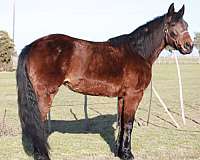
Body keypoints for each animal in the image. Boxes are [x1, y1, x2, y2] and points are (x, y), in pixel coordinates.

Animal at [16, 3, 193, 160]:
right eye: (172, 24)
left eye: (186, 24)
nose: (189, 46)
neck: (137, 52)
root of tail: (32, 45)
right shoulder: (134, 95)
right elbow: (129, 124)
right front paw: (128, 155)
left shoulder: (122, 96)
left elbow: (121, 123)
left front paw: (120, 152)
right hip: (45, 94)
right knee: (38, 124)